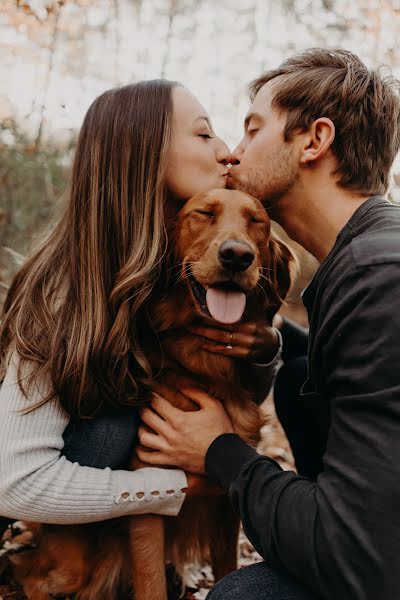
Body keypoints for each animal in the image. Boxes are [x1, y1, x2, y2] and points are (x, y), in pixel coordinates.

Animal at [3, 190, 296, 600]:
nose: (237, 256)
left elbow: (225, 568)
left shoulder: (228, 501)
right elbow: (152, 581)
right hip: (72, 565)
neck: (203, 367)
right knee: (32, 578)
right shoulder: (149, 495)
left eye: (257, 221)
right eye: (203, 213)